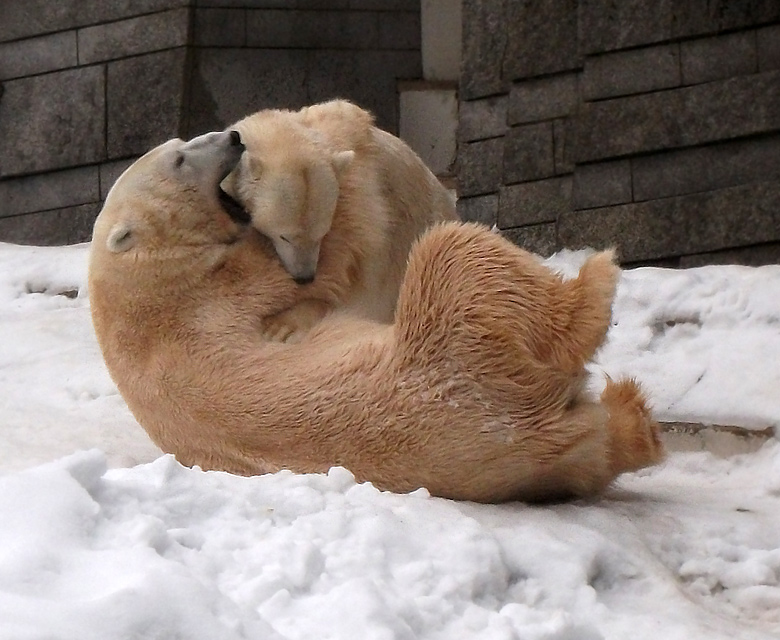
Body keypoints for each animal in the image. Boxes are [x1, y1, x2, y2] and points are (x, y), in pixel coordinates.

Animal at [91, 130, 664, 504]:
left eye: (179, 142)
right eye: (179, 159)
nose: (233, 137)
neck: (137, 290)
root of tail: (530, 436)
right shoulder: (212, 291)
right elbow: (306, 265)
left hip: (540, 457)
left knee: (596, 450)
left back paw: (634, 422)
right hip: (455, 355)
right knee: (457, 256)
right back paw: (598, 281)